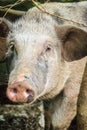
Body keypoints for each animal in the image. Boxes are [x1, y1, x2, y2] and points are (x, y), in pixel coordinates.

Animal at [0, 1, 87, 130]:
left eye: (48, 48)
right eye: (12, 46)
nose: (20, 84)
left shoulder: (76, 85)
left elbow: (59, 122)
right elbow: (47, 116)